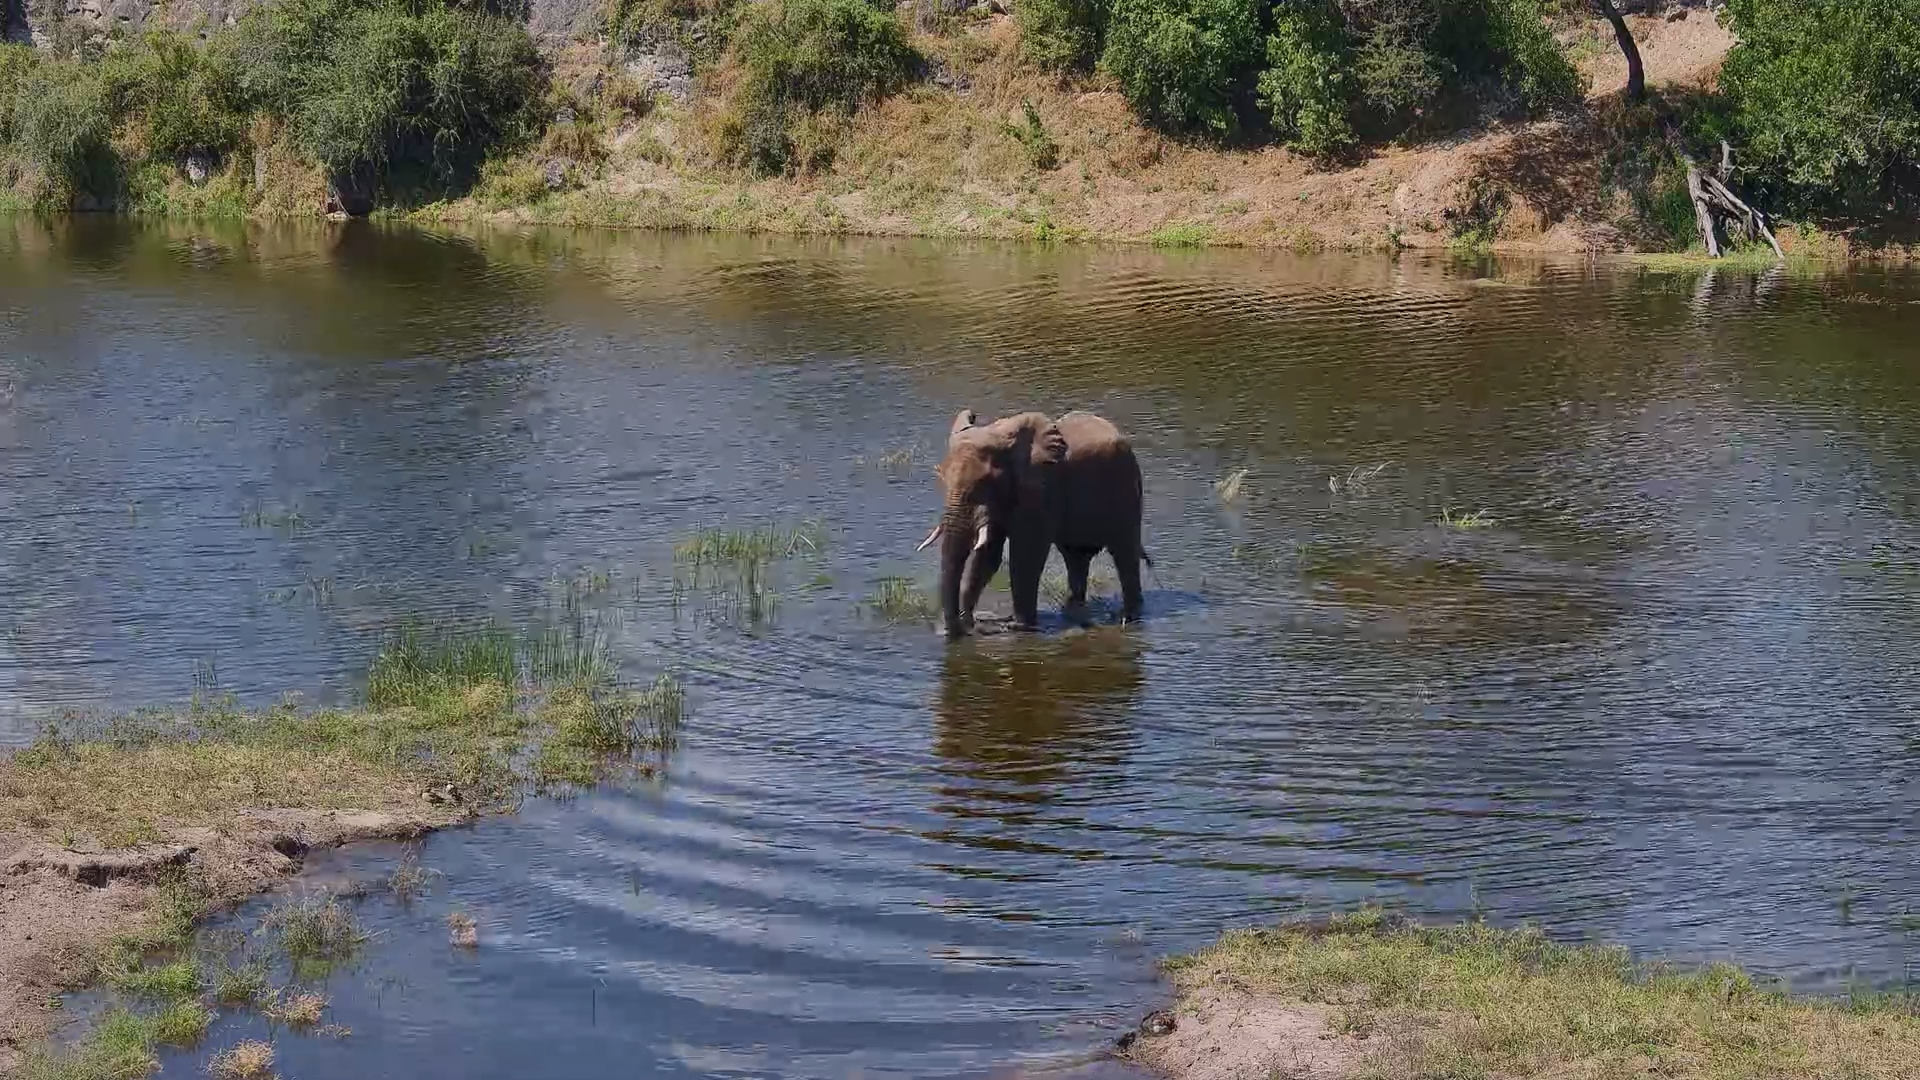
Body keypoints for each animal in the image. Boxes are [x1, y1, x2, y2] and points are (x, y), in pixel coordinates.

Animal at [916, 408, 1148, 638]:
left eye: (984, 482)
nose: (957, 630)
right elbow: (989, 554)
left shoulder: (1041, 488)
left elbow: (1026, 553)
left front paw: (1017, 627)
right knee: (1075, 556)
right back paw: (1072, 613)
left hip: (1126, 489)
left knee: (1124, 552)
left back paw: (1128, 618)